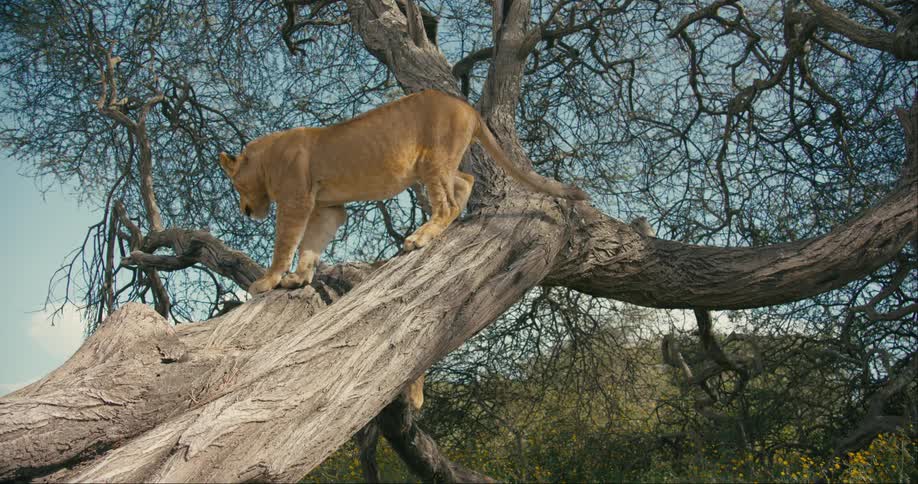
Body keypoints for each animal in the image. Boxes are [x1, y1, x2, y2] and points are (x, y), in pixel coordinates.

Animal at [219, 89, 588, 295]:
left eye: (236, 185)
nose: (245, 211)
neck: (266, 158)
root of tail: (467, 107)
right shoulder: (328, 208)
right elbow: (311, 243)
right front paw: (299, 278)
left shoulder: (295, 201)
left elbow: (284, 244)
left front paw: (268, 281)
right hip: (437, 164)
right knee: (465, 180)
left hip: (432, 159)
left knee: (446, 202)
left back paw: (421, 236)